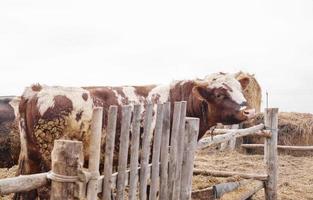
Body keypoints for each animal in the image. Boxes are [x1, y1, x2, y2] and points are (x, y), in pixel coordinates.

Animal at [16, 72, 254, 199]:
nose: (249, 111)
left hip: (32, 157)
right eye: (219, 93)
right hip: (48, 158)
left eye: (240, 90)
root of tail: (37, 90)